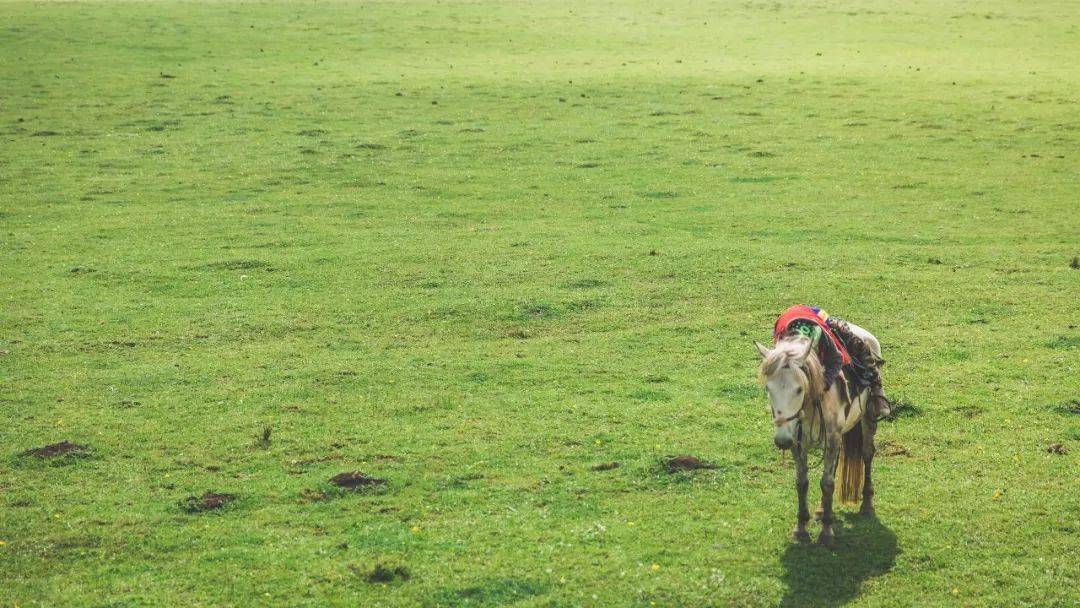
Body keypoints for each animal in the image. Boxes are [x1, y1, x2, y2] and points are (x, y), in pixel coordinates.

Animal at [756, 328, 881, 546]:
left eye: (799, 389)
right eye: (768, 388)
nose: (781, 440)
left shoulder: (831, 438)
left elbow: (828, 484)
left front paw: (826, 533)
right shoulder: (798, 443)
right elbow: (802, 482)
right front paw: (801, 529)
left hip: (867, 419)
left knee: (867, 454)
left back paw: (866, 505)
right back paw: (822, 509)